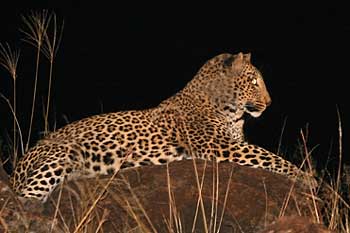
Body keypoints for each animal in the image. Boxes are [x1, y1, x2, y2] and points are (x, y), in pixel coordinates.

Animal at [9, 51, 316, 202]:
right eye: (253, 81)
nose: (269, 103)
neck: (231, 112)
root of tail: (17, 166)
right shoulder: (220, 145)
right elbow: (269, 156)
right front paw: (308, 178)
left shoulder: (230, 143)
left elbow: (268, 155)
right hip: (61, 154)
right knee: (25, 198)